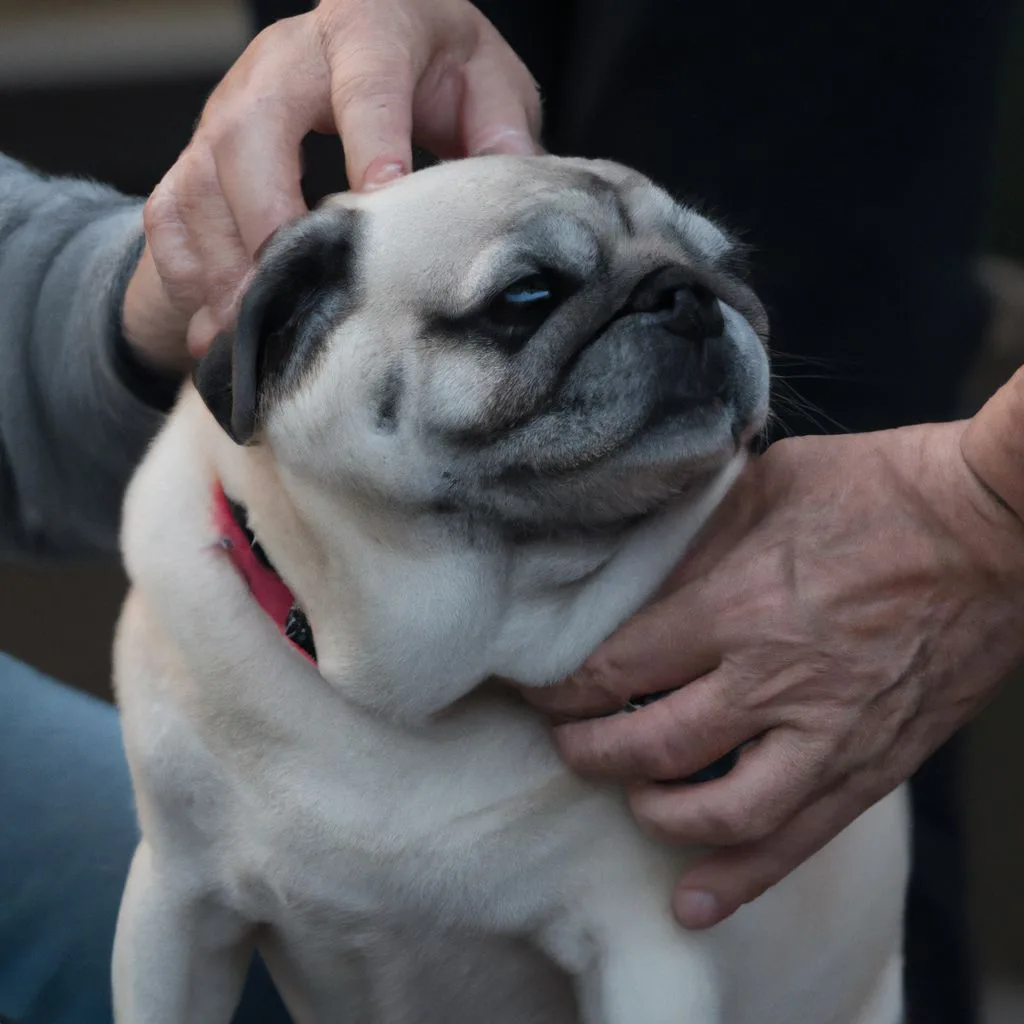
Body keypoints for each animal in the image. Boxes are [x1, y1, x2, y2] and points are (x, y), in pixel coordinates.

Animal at [112, 153, 909, 1024]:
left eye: (731, 268)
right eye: (527, 296)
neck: (421, 690)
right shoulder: (175, 908)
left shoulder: (647, 953)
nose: (688, 292)